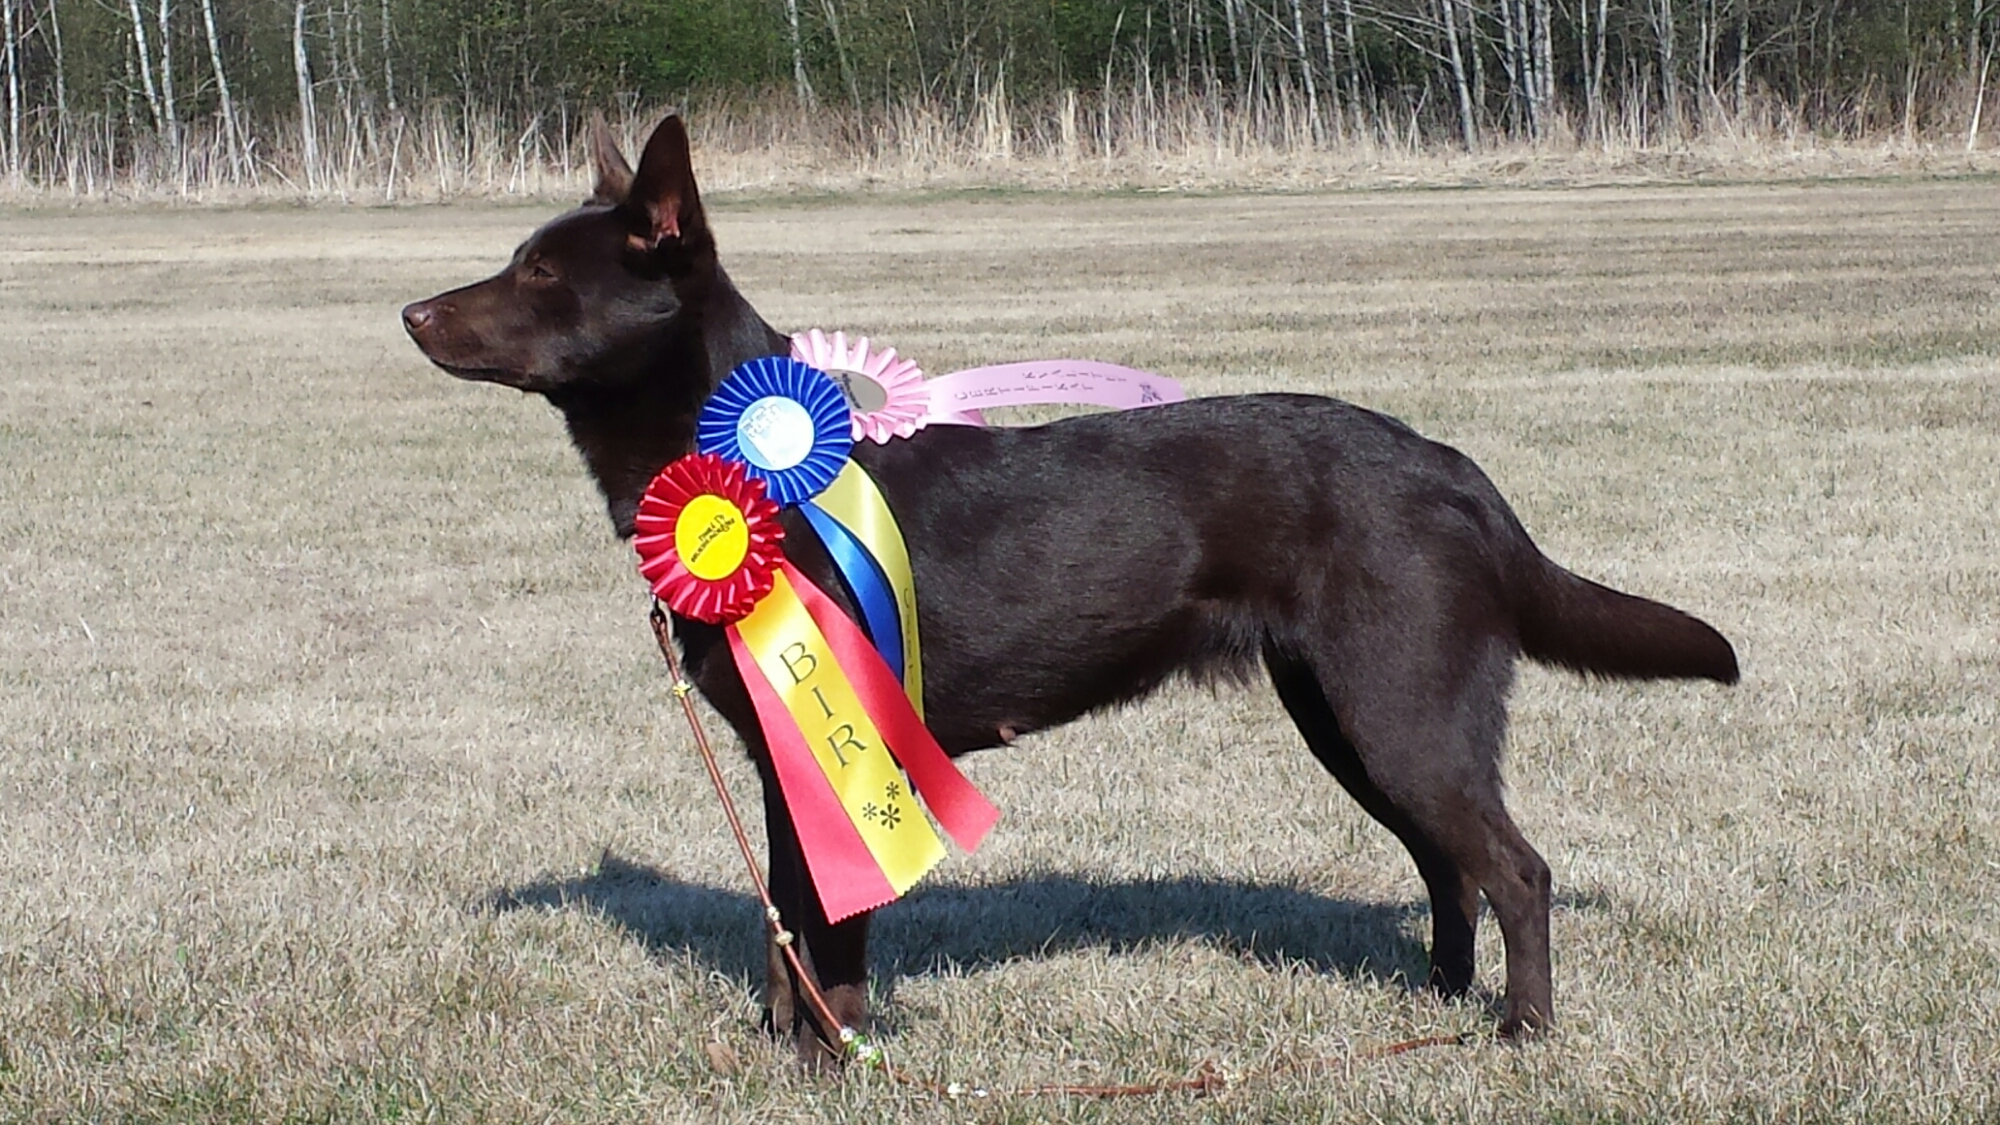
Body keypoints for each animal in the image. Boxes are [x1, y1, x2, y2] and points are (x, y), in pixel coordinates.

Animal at [403, 114, 1739, 1056]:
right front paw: (790, 1049)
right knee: (1447, 867)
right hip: (1350, 720)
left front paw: (837, 1059)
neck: (748, 471)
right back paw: (1434, 1001)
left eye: (539, 276)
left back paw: (1518, 1031)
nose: (412, 312)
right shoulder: (788, 761)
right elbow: (788, 920)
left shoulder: (844, 740)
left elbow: (831, 929)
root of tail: (1451, 467)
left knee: (1514, 868)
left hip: (1399, 710)